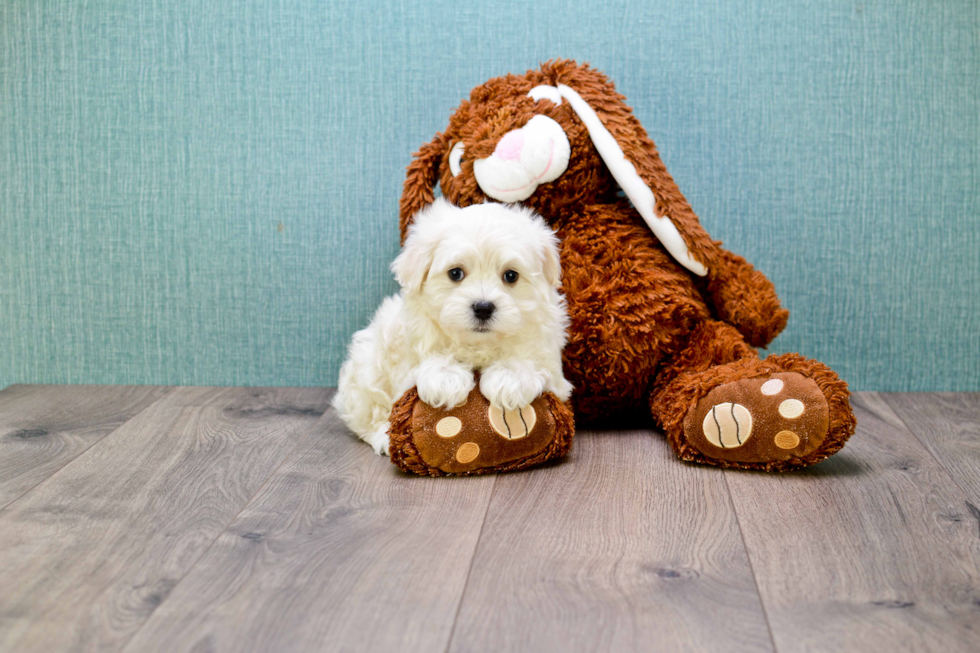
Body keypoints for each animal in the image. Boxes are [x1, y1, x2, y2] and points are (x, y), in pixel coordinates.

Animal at [334, 199, 572, 454]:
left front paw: (510, 377)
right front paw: (445, 377)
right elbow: (429, 361)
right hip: (368, 366)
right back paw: (382, 436)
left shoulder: (552, 367)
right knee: (368, 413)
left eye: (511, 276)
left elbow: (529, 359)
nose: (483, 307)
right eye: (455, 273)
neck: (479, 344)